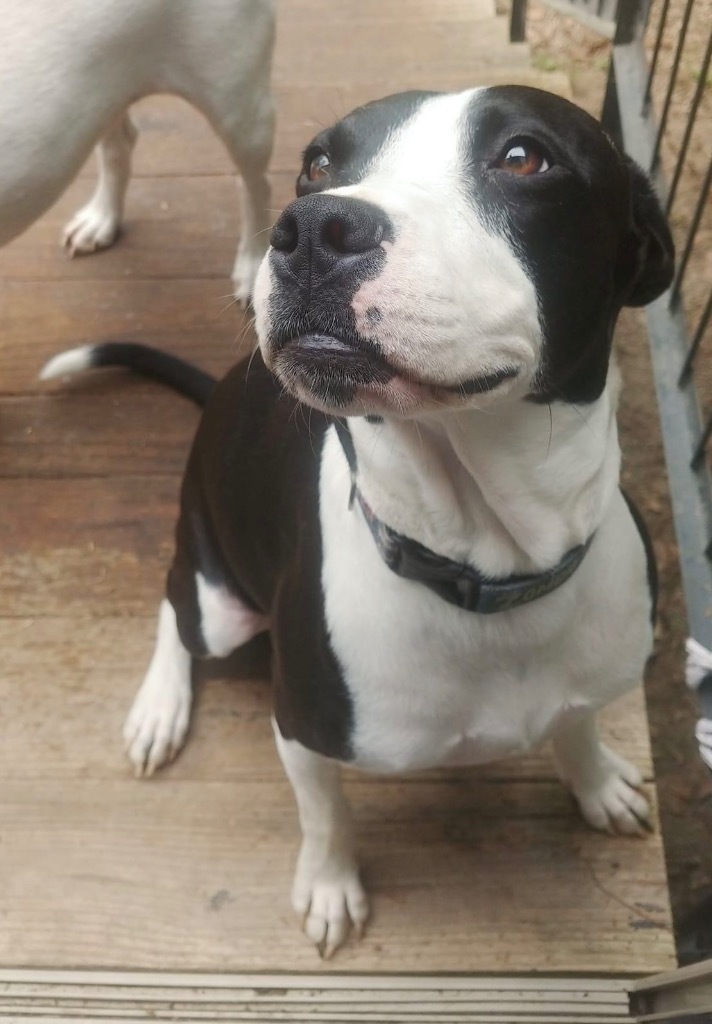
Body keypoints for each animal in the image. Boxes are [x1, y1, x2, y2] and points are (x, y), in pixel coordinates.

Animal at [0, 1, 276, 299]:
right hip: (100, 99)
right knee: (118, 145)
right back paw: (101, 217)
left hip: (238, 108)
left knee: (255, 185)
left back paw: (253, 265)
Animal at [41, 88, 676, 958]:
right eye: (317, 163)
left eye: (524, 157)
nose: (311, 228)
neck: (486, 571)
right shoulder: (300, 728)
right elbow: (325, 815)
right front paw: (330, 886)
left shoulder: (586, 677)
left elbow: (575, 724)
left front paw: (598, 778)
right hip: (220, 606)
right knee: (173, 606)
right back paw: (159, 709)